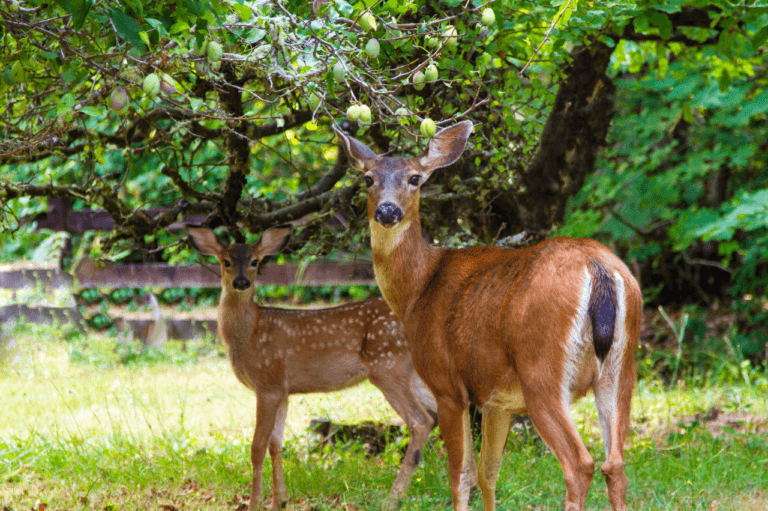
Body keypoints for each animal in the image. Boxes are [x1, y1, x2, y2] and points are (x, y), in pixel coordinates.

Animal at [187, 226, 438, 511]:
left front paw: (254, 503)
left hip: (388, 367)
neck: (248, 334)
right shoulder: (282, 391)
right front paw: (280, 501)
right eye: (226, 261)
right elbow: (276, 443)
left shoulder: (267, 382)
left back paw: (393, 497)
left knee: (421, 421)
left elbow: (257, 447)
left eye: (254, 262)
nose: (241, 282)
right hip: (413, 372)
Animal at [336, 121, 640, 511]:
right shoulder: (498, 402)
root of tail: (597, 265)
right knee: (615, 464)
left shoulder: (447, 384)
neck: (417, 291)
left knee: (579, 464)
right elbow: (488, 474)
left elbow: (461, 474)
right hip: (622, 366)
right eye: (368, 179)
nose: (388, 212)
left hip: (541, 369)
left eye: (415, 178)